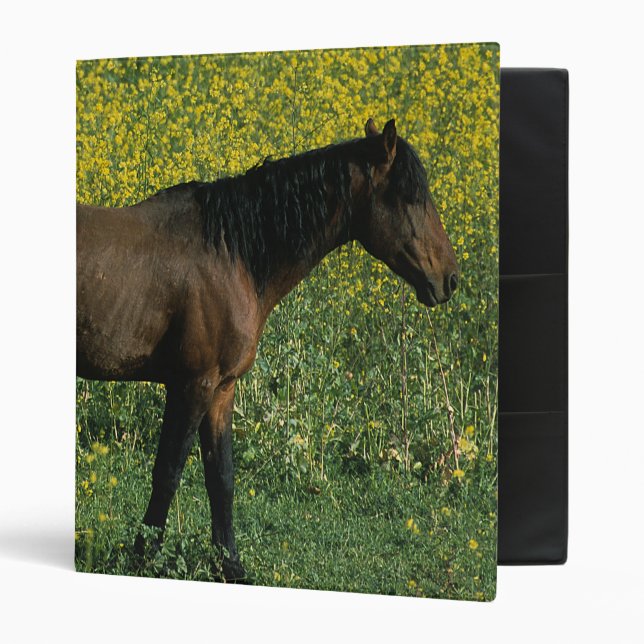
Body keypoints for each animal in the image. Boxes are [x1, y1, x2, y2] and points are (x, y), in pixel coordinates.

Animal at [76, 118, 459, 581]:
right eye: (409, 197)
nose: (450, 279)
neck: (231, 254)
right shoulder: (192, 386)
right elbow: (167, 471)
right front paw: (143, 554)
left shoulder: (221, 390)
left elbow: (221, 477)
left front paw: (231, 565)